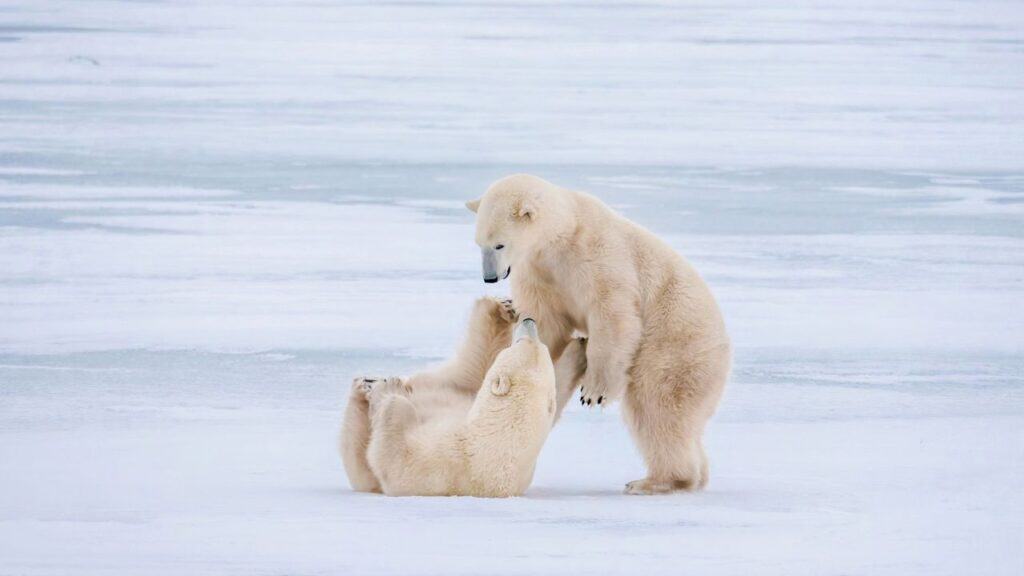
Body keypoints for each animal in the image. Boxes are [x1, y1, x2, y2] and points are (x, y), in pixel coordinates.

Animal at [340, 297, 585, 496]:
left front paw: (391, 389)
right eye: (538, 345)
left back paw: (362, 391)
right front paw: (579, 348)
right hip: (451, 388)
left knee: (358, 452)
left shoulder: (443, 461)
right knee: (472, 368)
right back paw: (500, 310)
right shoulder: (464, 405)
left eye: (520, 343)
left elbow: (394, 457)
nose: (530, 320)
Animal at [466, 174, 731, 495]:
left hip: (675, 344)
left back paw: (655, 481)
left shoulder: (597, 256)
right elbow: (547, 321)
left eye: (500, 244)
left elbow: (612, 314)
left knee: (657, 407)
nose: (490, 277)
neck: (564, 231)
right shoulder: (538, 270)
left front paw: (593, 392)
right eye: (479, 244)